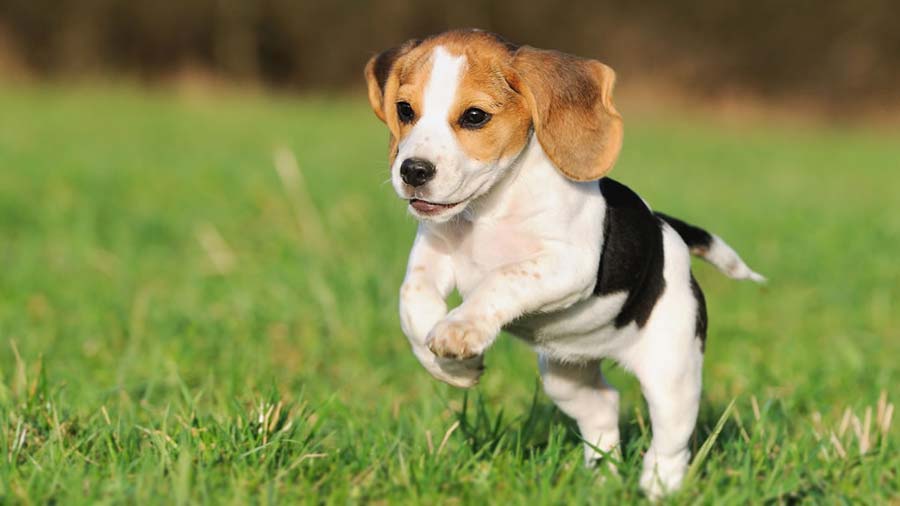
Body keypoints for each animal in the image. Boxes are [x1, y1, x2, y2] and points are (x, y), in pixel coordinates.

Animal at [362, 29, 764, 500]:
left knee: (671, 441)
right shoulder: (434, 254)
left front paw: (460, 329)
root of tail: (667, 227)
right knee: (604, 408)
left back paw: (657, 486)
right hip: (565, 378)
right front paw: (452, 367)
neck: (490, 207)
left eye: (475, 117)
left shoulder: (567, 265)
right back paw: (601, 479)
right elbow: (413, 300)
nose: (413, 171)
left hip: (673, 374)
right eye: (405, 110)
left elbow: (502, 278)